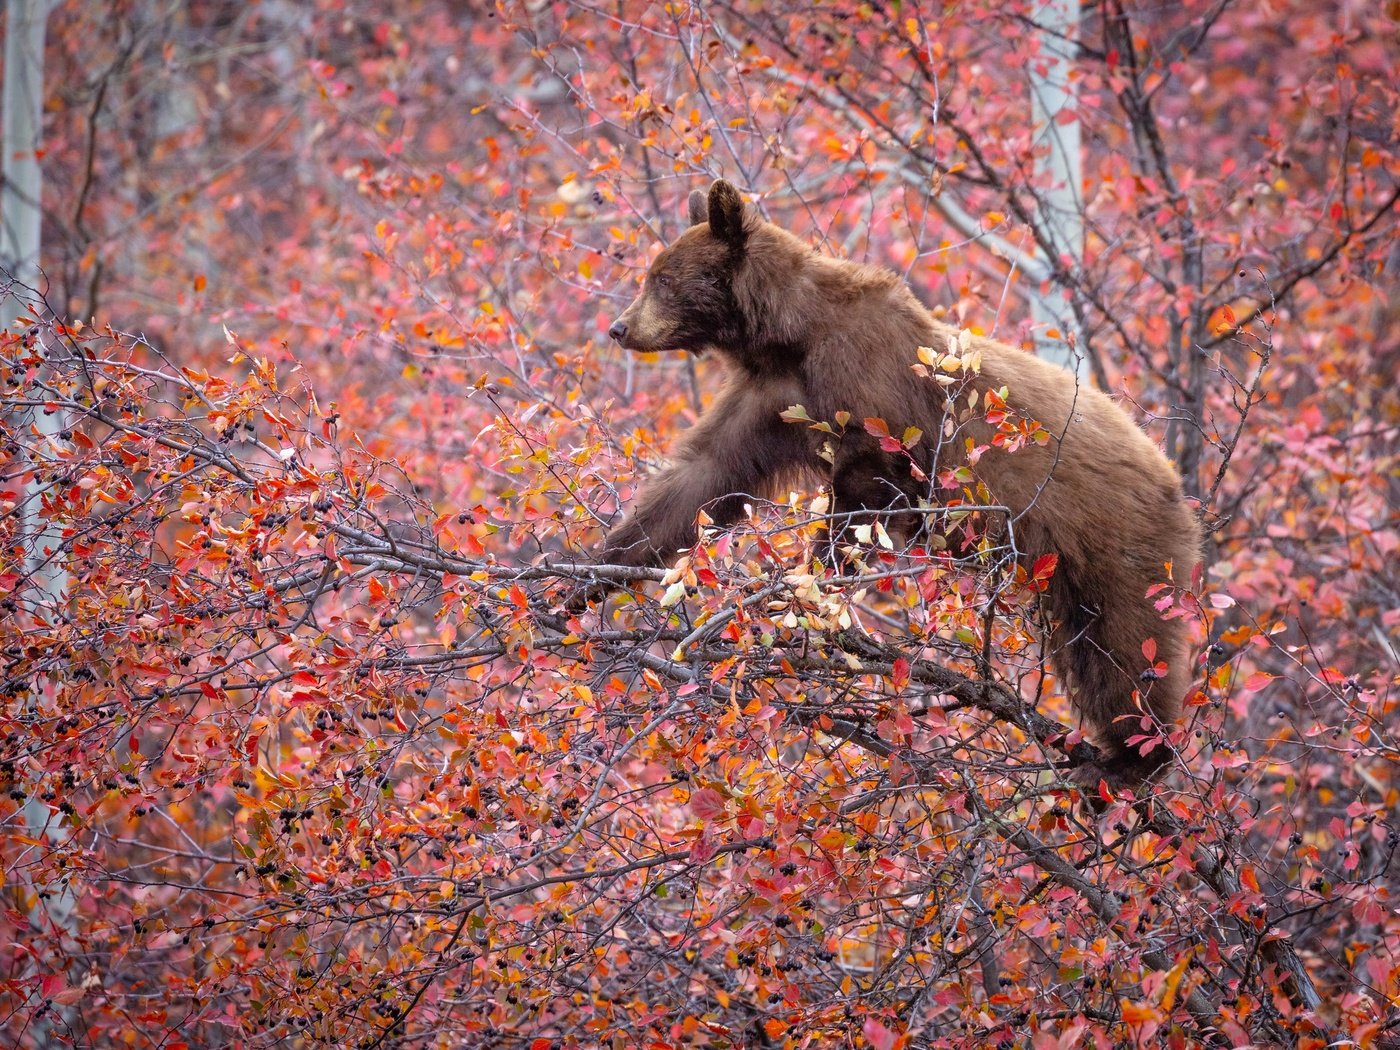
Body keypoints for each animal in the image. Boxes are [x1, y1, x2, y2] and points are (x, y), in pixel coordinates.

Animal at [574, 180, 1198, 789]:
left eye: (661, 279)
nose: (619, 327)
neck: (791, 336)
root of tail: (1173, 480)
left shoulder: (870, 386)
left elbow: (862, 493)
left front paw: (802, 588)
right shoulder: (771, 402)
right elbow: (699, 482)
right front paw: (580, 577)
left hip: (1113, 536)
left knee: (1124, 643)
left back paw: (1132, 759)